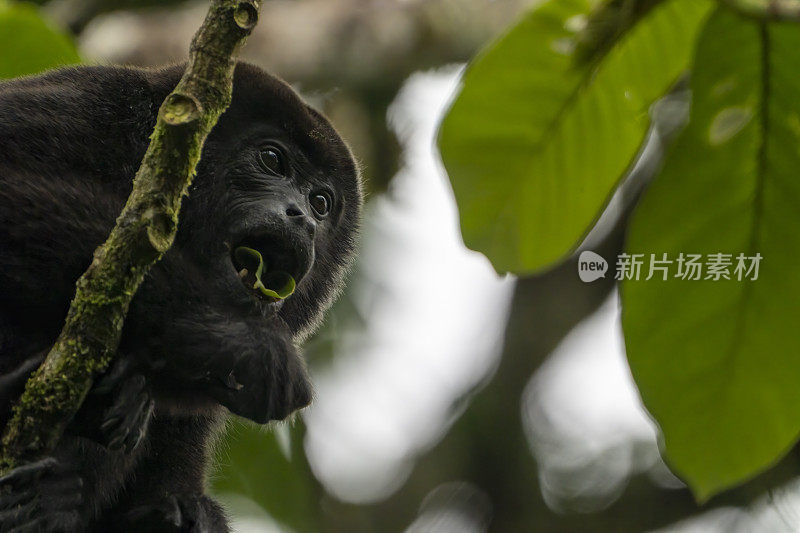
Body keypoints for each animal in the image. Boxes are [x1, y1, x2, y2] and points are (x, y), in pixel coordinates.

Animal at [0, 61, 360, 528]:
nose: (303, 219)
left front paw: (183, 514)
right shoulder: (88, 110)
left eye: (321, 202)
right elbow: (12, 187)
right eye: (272, 159)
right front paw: (251, 346)